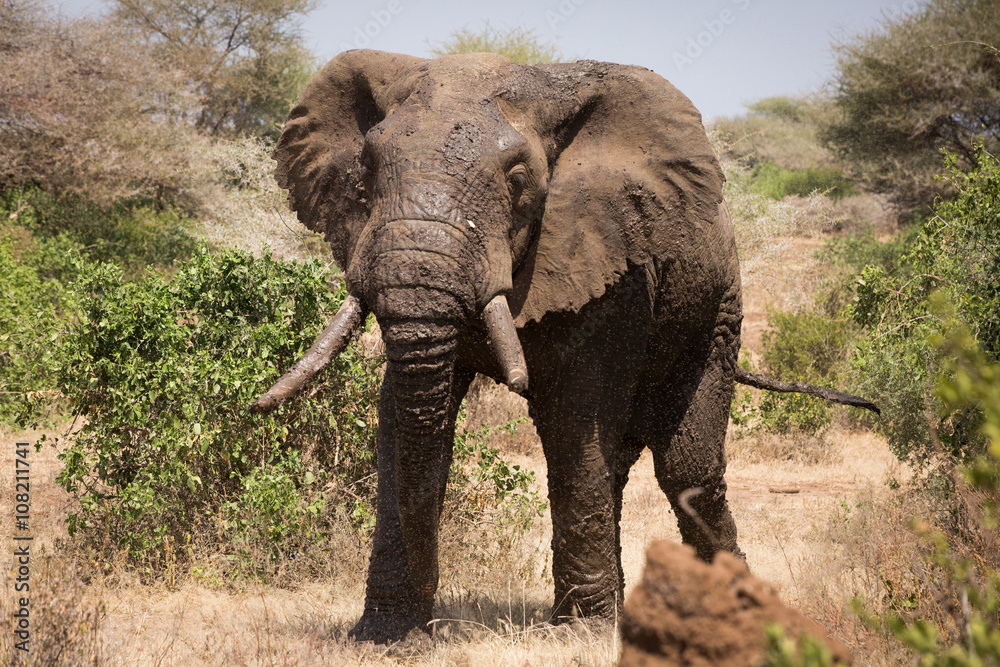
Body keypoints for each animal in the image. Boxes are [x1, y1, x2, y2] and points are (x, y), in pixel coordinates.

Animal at [250, 49, 878, 644]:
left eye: (517, 179)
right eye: (367, 169)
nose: (429, 634)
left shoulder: (611, 261)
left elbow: (576, 415)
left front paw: (582, 633)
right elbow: (405, 418)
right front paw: (382, 636)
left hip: (719, 307)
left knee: (686, 468)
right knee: (621, 464)